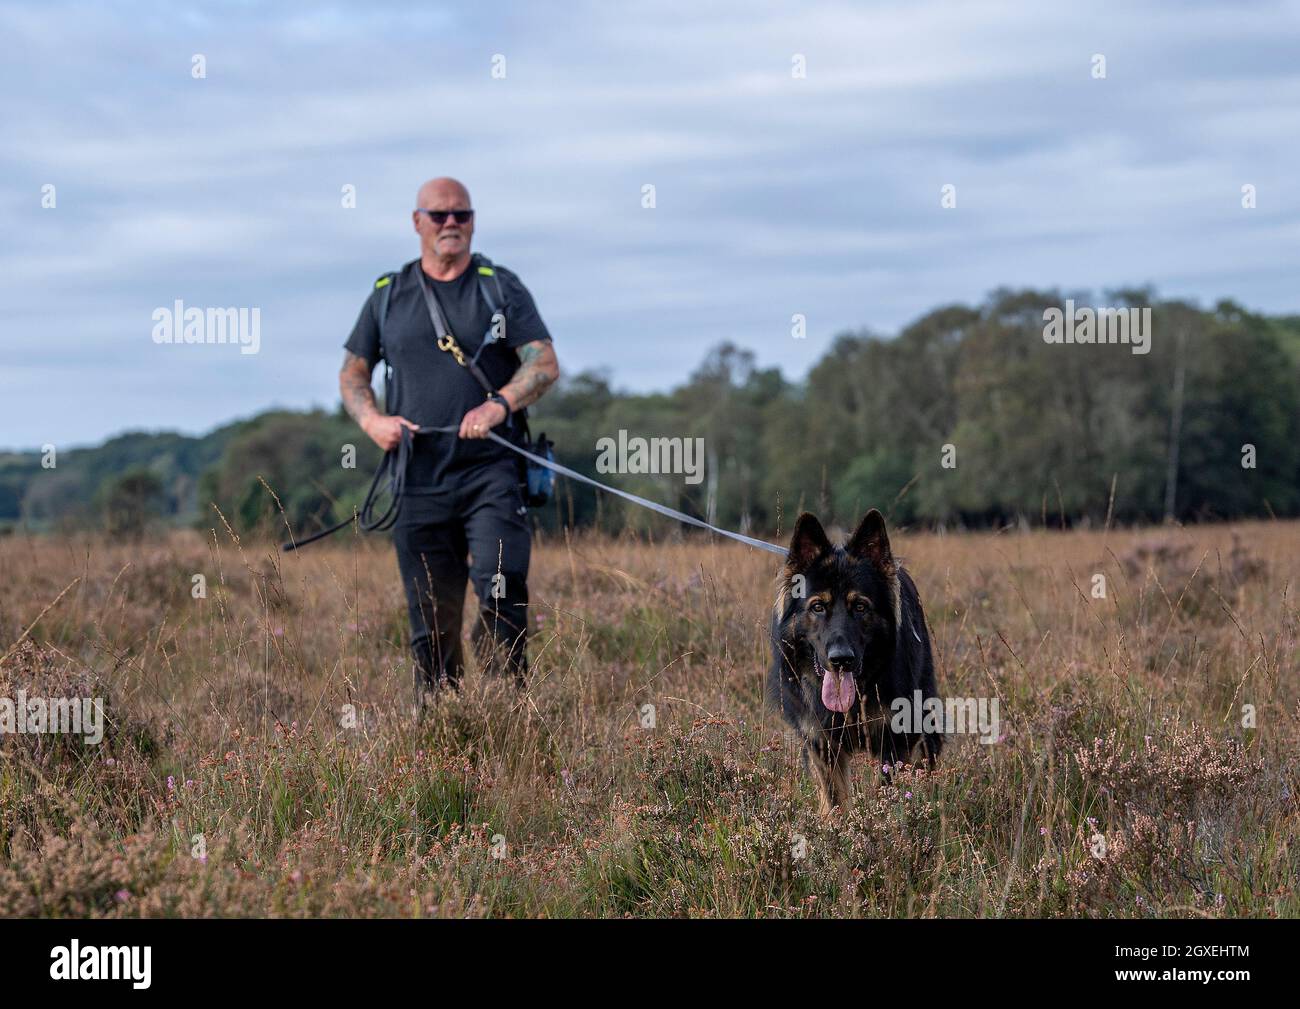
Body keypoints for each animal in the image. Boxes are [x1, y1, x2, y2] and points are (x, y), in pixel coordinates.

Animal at [764, 512, 941, 811]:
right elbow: (835, 802)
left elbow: (886, 790)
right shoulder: (822, 745)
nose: (841, 660)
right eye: (818, 607)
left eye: (860, 606)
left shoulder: (893, 741)